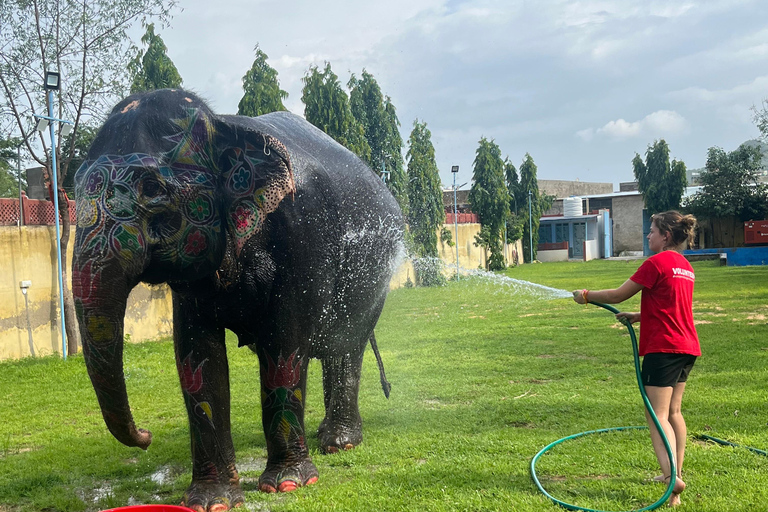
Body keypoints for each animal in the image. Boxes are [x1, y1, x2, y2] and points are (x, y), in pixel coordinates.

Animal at [72, 89, 404, 512]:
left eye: (152, 188)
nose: (145, 435)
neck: (221, 126)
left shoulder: (303, 232)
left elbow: (284, 341)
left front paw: (287, 485)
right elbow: (196, 354)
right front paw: (209, 502)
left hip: (375, 273)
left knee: (346, 347)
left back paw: (338, 444)